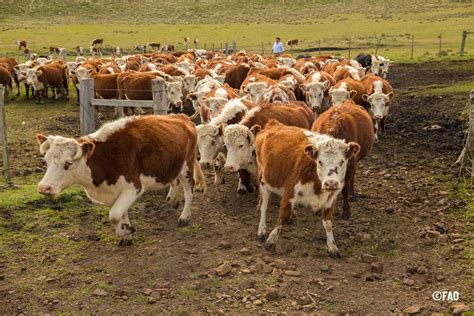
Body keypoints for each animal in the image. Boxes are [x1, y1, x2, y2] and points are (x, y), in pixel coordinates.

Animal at [36, 115, 206, 246]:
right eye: (46, 160)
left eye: (68, 163)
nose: (44, 188)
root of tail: (182, 117)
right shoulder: (116, 191)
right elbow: (122, 214)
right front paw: (127, 234)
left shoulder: (133, 188)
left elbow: (115, 215)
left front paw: (126, 230)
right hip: (173, 166)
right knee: (174, 181)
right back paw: (172, 200)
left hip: (187, 165)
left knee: (189, 189)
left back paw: (184, 217)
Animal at [256, 119, 360, 258]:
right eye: (320, 162)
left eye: (342, 161)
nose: (331, 183)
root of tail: (273, 124)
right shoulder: (290, 191)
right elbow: (283, 217)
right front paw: (271, 241)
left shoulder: (331, 199)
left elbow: (328, 224)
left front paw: (332, 247)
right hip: (263, 180)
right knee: (264, 205)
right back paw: (261, 230)